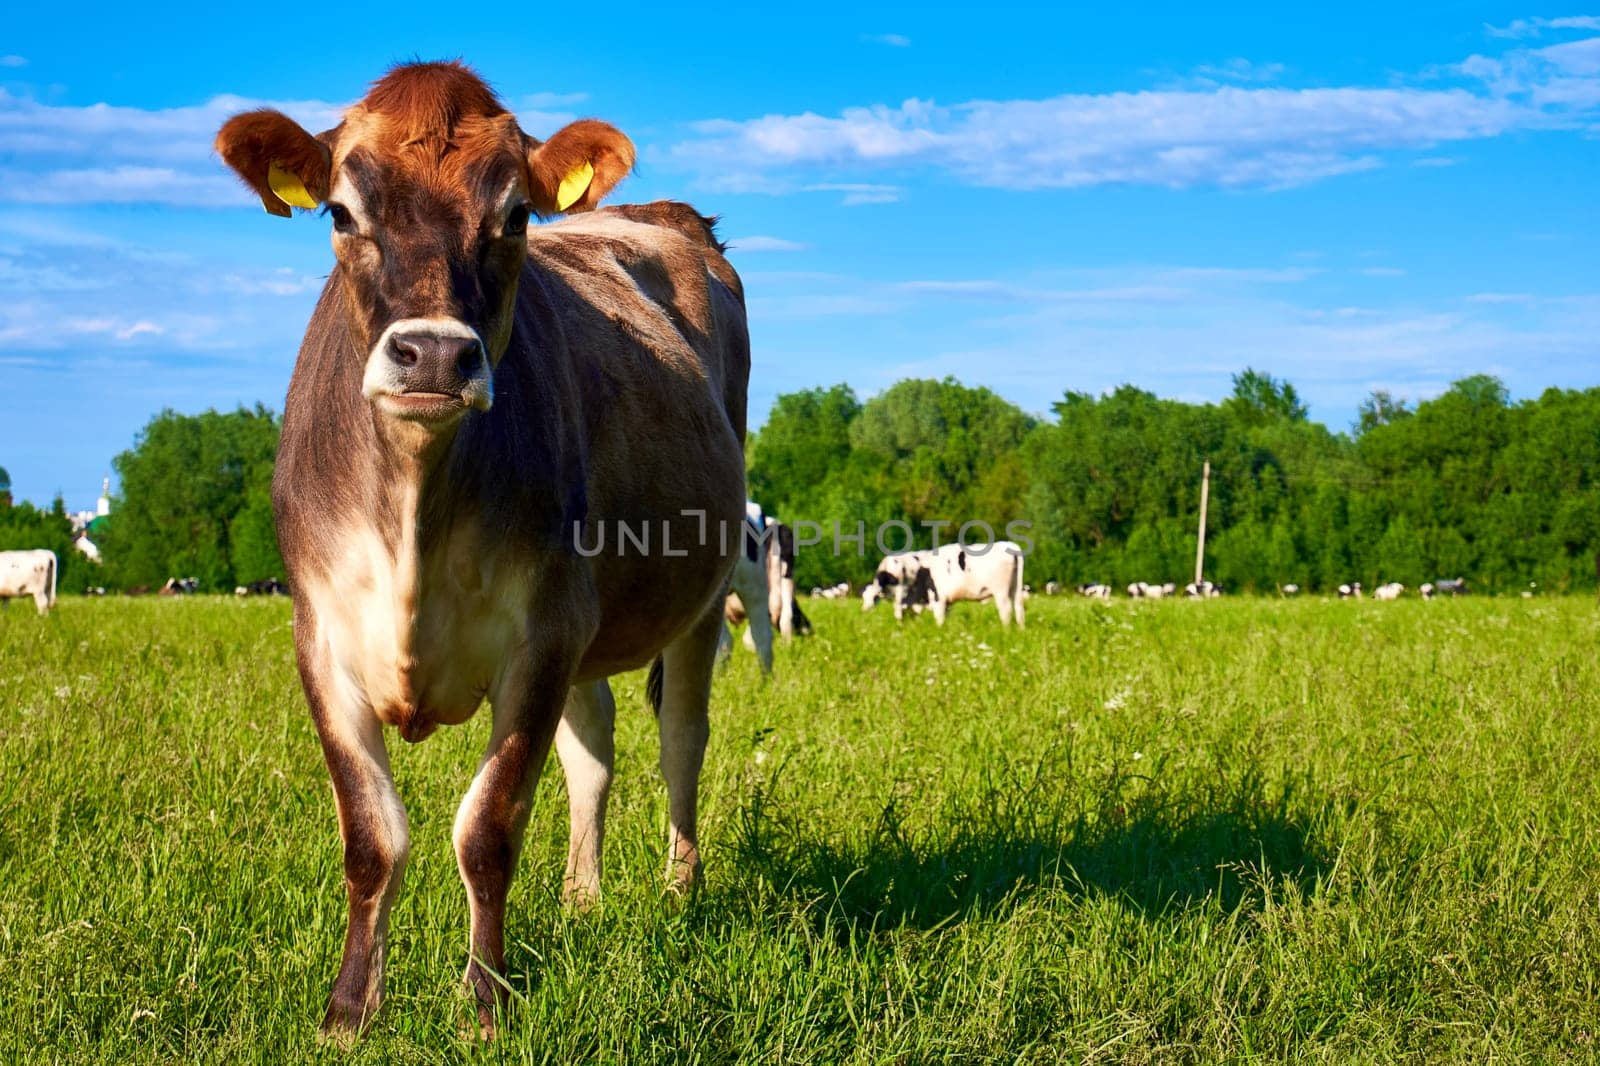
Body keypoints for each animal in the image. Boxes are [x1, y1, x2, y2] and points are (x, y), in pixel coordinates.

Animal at [214, 62, 755, 1030]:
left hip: (703, 590)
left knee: (680, 740)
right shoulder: (320, 635)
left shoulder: (541, 634)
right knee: (594, 749)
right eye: (340, 212)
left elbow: (490, 826)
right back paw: (582, 899)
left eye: (514, 218)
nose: (433, 355)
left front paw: (484, 1001)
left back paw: (680, 890)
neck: (415, 519)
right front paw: (350, 1009)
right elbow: (372, 834)